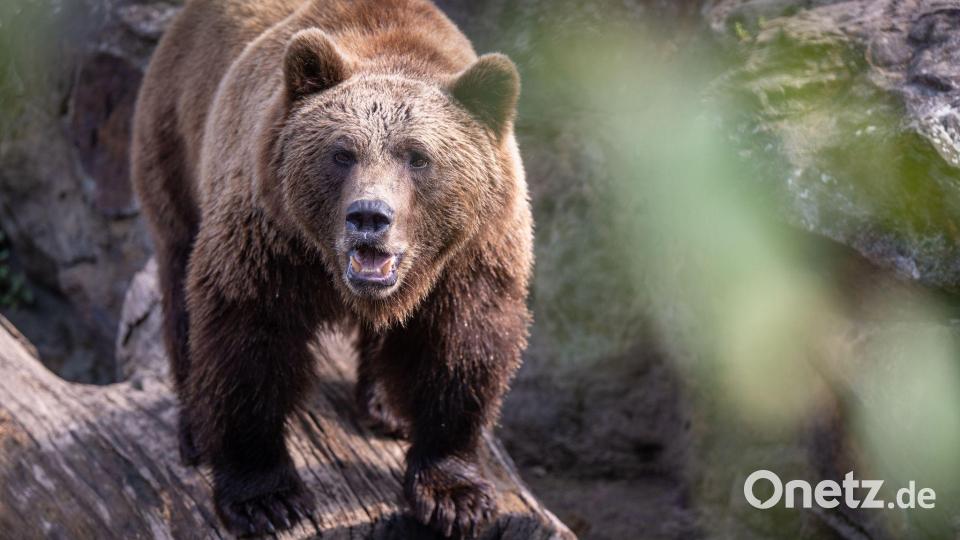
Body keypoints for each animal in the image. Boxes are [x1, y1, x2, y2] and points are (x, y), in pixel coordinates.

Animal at [131, 0, 531, 537]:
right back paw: (195, 426)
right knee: (179, 280)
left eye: (417, 157)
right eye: (342, 153)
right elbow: (246, 341)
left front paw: (455, 495)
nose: (369, 216)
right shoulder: (270, 239)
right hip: (175, 139)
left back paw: (387, 407)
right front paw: (265, 498)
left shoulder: (472, 254)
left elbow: (461, 349)